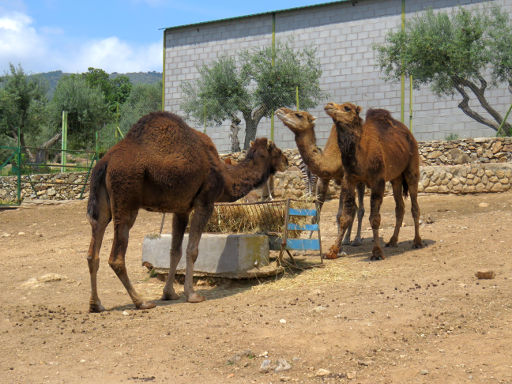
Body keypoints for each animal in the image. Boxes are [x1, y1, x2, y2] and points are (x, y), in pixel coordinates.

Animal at [86, 112, 290, 312]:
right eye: (277, 150)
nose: (287, 161)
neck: (225, 176)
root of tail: (105, 162)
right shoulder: (205, 202)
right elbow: (192, 250)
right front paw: (192, 295)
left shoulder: (181, 209)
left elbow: (174, 251)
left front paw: (169, 293)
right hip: (126, 199)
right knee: (116, 257)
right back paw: (141, 301)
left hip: (103, 206)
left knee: (93, 249)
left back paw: (96, 304)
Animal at [274, 106, 366, 248]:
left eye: (299, 115)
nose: (280, 109)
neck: (332, 159)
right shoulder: (323, 178)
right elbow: (316, 215)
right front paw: (309, 240)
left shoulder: (344, 178)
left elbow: (339, 215)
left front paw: (338, 248)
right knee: (354, 208)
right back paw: (346, 239)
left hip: (360, 177)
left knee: (360, 208)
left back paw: (357, 239)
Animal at [324, 102, 424, 260]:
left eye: (347, 108)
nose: (329, 105)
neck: (361, 155)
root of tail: (409, 134)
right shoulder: (349, 179)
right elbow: (345, 217)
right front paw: (332, 251)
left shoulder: (378, 181)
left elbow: (375, 218)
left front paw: (376, 252)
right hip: (396, 178)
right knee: (400, 207)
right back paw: (392, 241)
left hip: (412, 169)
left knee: (415, 206)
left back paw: (417, 242)